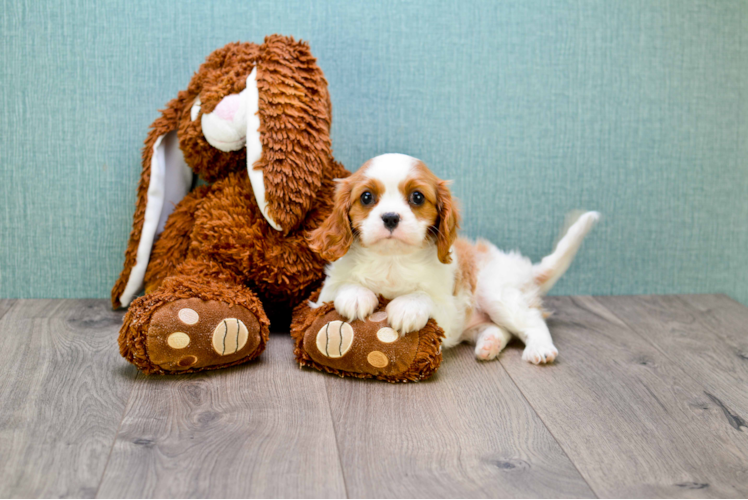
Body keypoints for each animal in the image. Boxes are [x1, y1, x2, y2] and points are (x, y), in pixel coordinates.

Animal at [306, 152, 600, 364]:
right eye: (366, 197)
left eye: (417, 197)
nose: (390, 217)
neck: (392, 260)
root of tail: (523, 269)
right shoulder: (322, 297)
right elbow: (343, 287)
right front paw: (355, 295)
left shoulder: (448, 309)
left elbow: (423, 297)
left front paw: (407, 307)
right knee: (498, 329)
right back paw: (490, 344)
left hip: (495, 293)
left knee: (532, 320)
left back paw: (540, 348)